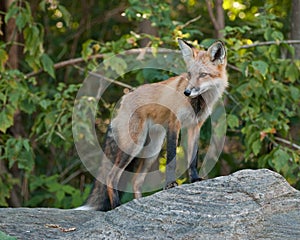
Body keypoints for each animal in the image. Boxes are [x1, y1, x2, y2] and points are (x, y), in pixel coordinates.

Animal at [77, 39, 227, 210]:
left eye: (203, 75)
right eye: (189, 74)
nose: (187, 92)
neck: (197, 103)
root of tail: (123, 101)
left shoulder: (195, 126)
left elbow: (193, 159)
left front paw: (194, 179)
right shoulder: (174, 124)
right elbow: (171, 159)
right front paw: (170, 184)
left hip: (152, 150)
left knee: (136, 181)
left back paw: (138, 203)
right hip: (134, 145)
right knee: (110, 177)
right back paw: (116, 205)